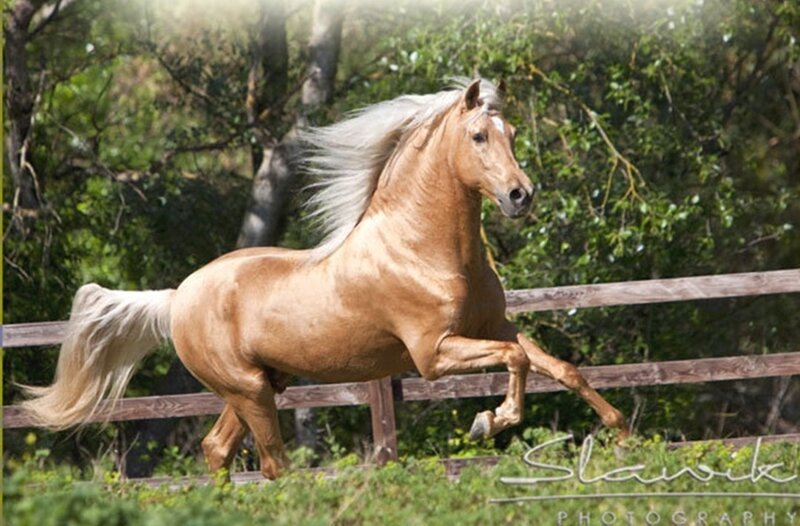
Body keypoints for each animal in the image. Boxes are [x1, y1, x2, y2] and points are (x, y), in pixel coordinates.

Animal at [20, 78, 629, 480]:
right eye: (479, 136)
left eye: (512, 131)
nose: (521, 196)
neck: (421, 250)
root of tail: (176, 297)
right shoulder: (432, 354)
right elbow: (518, 361)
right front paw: (489, 421)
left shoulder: (494, 325)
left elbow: (559, 366)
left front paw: (620, 430)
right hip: (250, 390)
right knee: (274, 465)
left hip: (259, 386)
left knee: (218, 450)